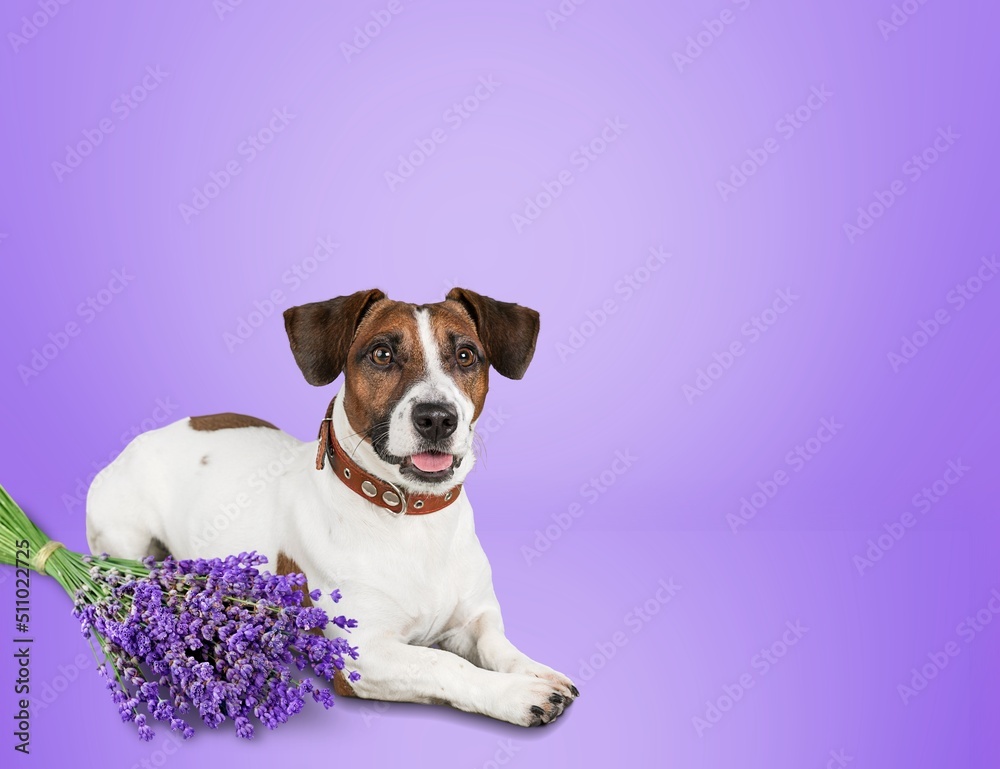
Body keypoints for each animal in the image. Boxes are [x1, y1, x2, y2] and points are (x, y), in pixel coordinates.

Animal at [90, 288, 584, 728]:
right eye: (382, 354)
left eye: (465, 356)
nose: (437, 418)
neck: (412, 517)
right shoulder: (365, 657)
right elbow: (445, 665)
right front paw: (516, 694)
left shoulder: (472, 621)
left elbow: (497, 646)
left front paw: (535, 671)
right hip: (125, 541)